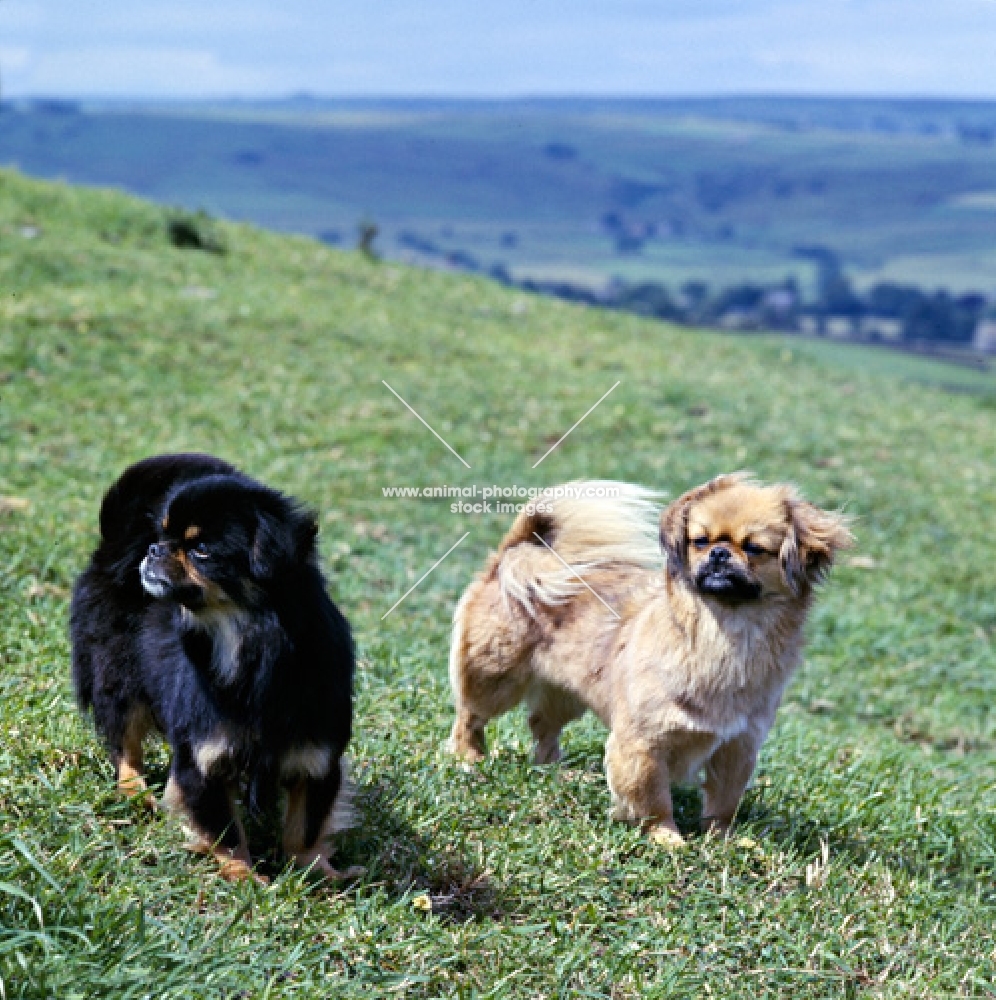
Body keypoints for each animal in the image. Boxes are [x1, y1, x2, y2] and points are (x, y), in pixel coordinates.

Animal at [73, 456, 354, 884]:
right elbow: (226, 830)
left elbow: (304, 829)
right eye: (166, 537)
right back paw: (135, 792)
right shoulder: (204, 756)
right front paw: (244, 878)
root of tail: (114, 548)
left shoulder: (317, 761)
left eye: (201, 549)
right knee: (125, 746)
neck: (246, 642)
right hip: (118, 682)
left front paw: (316, 875)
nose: (155, 547)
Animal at [448, 476, 852, 844]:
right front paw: (666, 838)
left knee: (543, 727)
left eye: (754, 548)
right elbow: (653, 799)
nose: (719, 553)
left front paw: (722, 839)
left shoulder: (737, 746)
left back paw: (554, 771)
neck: (724, 634)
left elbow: (723, 802)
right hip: (495, 676)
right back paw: (469, 758)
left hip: (566, 693)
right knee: (471, 716)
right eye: (700, 541)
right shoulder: (643, 742)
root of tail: (514, 553)